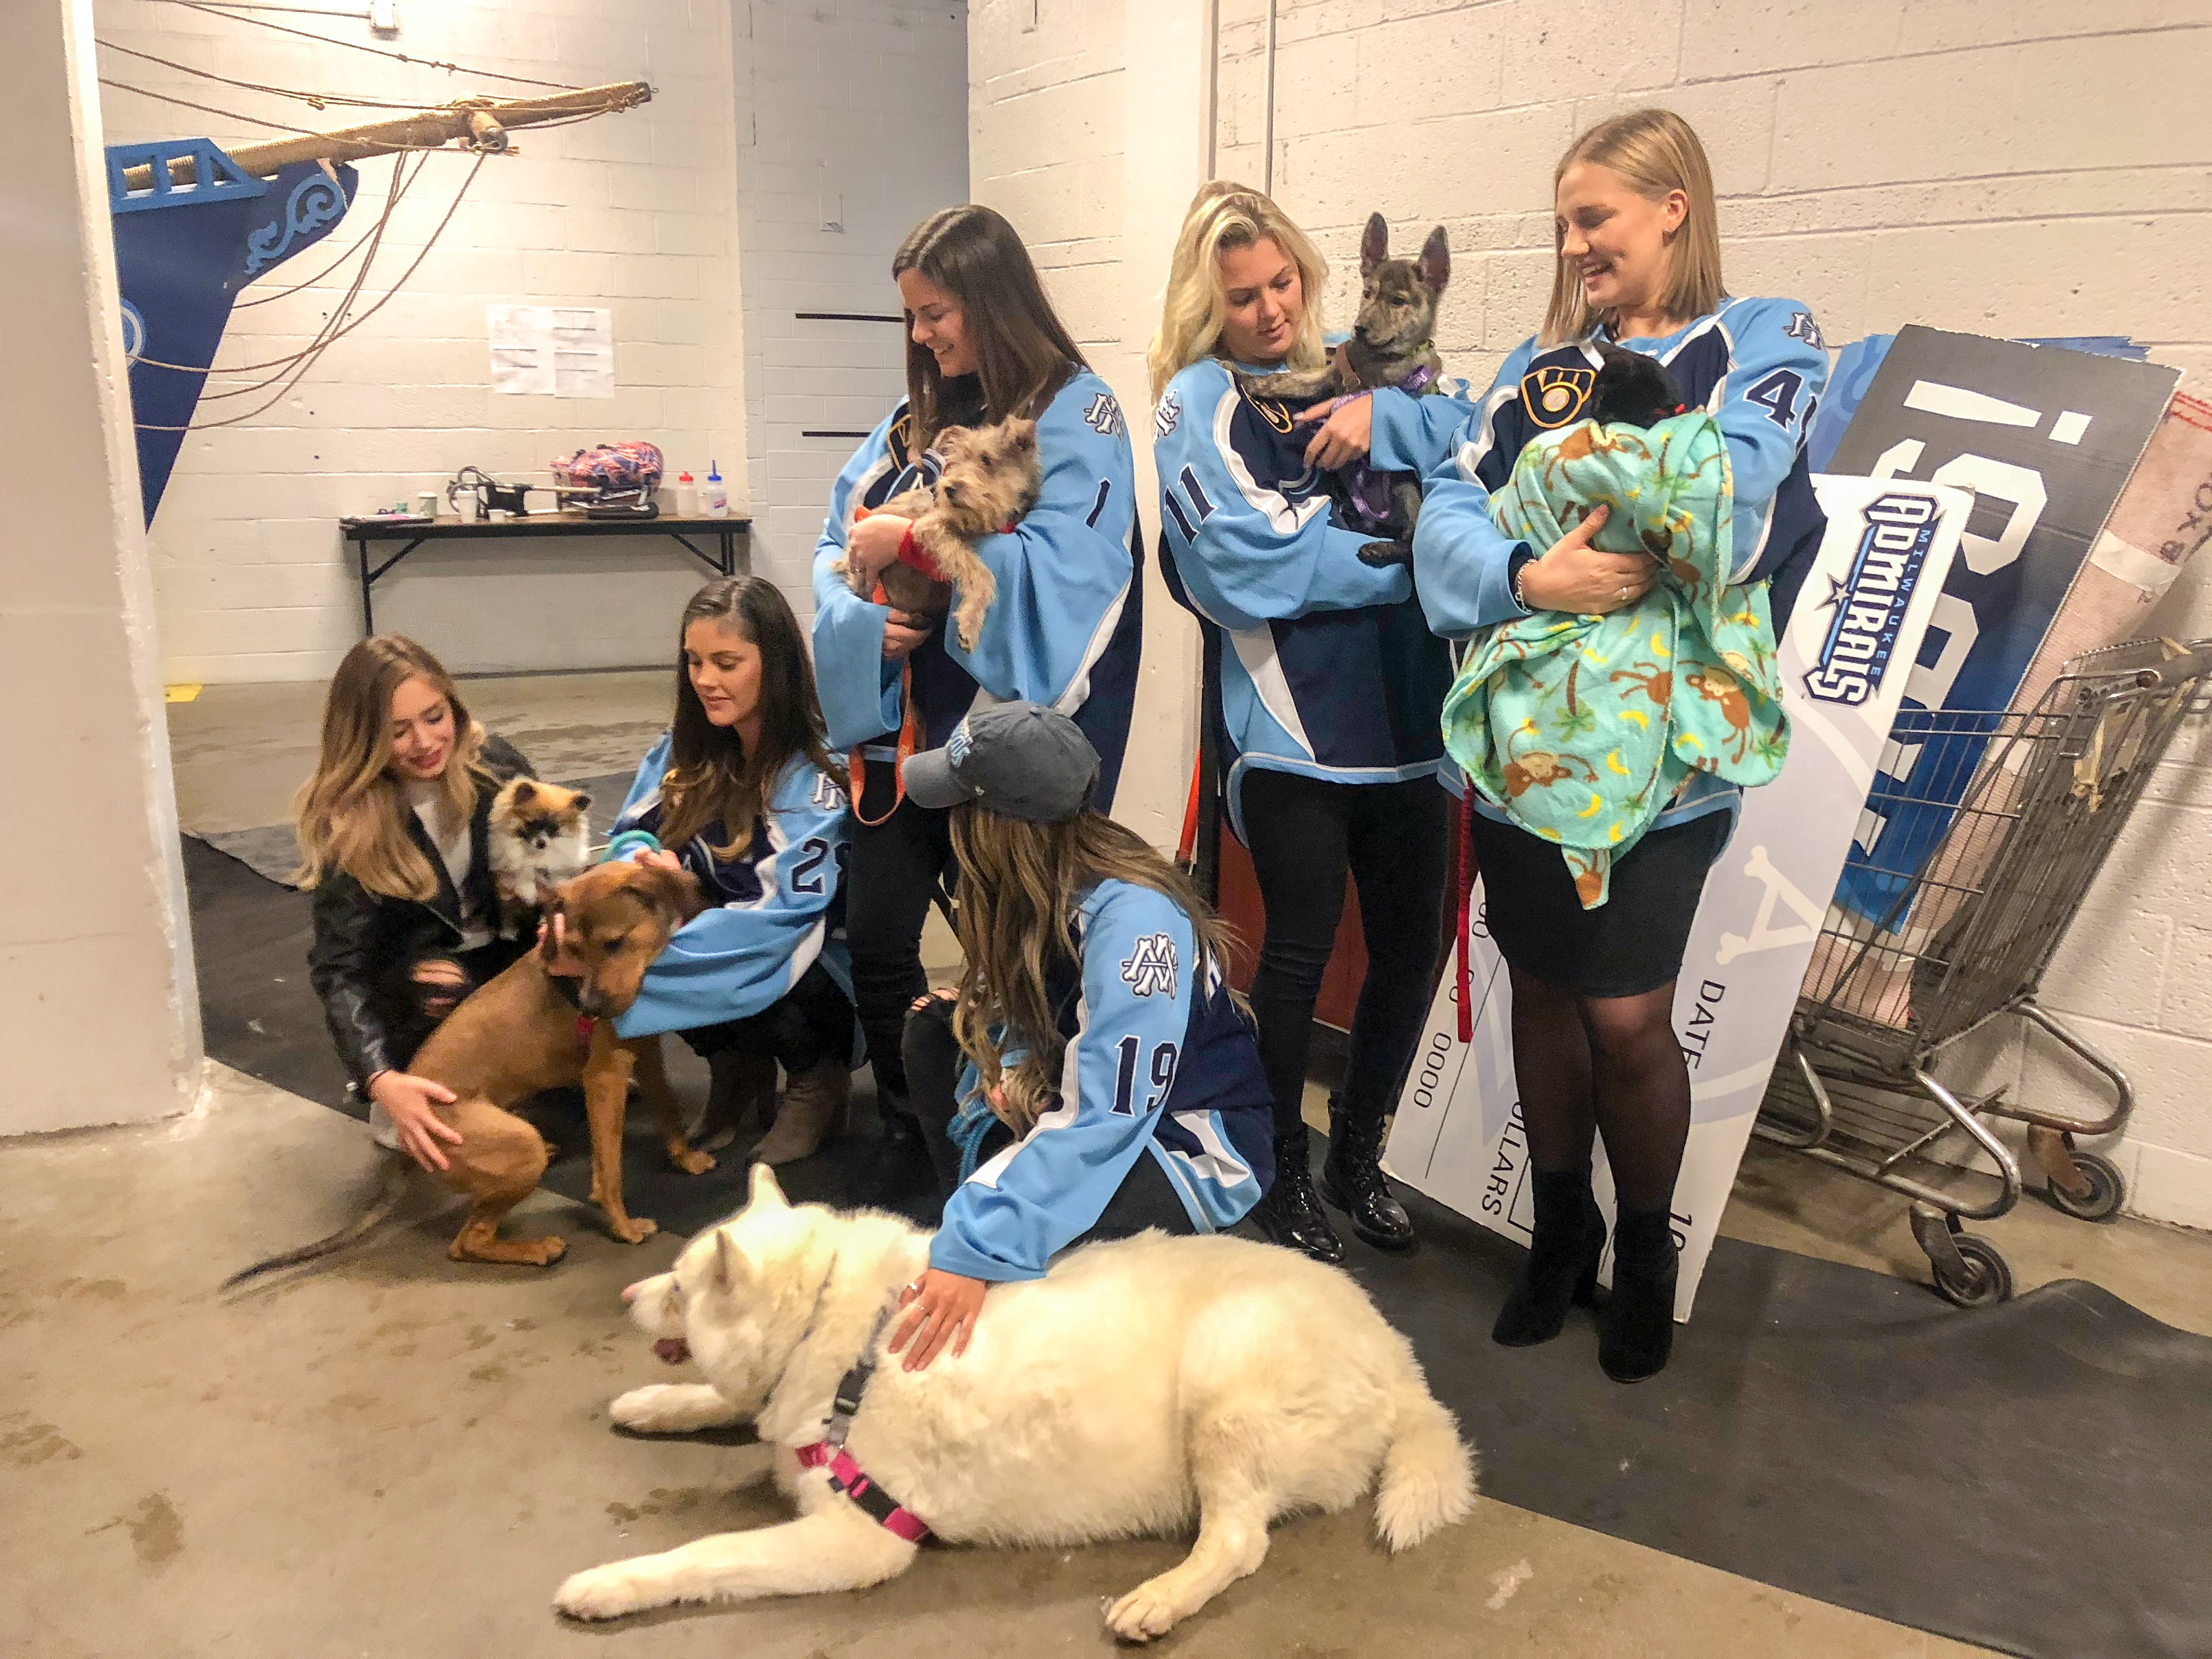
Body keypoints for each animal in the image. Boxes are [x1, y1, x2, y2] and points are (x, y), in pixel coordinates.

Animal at [223, 861, 718, 1284]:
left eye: (614, 944)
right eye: (574, 950)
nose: (592, 1009)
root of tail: (408, 1143)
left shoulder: (647, 1053)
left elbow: (669, 1109)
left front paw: (686, 1157)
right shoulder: (605, 1077)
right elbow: (609, 1170)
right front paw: (623, 1226)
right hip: (518, 1153)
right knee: (465, 1244)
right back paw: (535, 1249)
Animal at [488, 778, 593, 942]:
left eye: (554, 828)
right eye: (532, 824)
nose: (542, 843)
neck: (536, 855)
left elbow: (557, 878)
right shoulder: (507, 875)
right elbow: (523, 873)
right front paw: (528, 892)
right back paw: (508, 932)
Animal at [553, 1165, 1477, 1639]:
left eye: (679, 1289)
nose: (630, 1296)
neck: (848, 1340)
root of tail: (1402, 1360)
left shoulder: (856, 1541)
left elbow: (705, 1555)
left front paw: (609, 1583)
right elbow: (728, 1402)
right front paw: (655, 1402)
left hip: (1224, 1380)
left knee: (1239, 1543)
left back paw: (1159, 1599)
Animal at [836, 417, 1043, 652]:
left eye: (986, 459)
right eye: (954, 462)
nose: (949, 489)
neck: (986, 517)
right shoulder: (932, 528)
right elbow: (982, 574)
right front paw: (970, 623)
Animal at [1240, 212, 1450, 566]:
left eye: (1398, 301)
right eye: (1367, 293)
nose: (1359, 328)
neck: (1374, 357)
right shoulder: (1328, 376)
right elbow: (1292, 379)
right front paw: (1251, 378)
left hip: (1404, 482)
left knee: (1410, 541)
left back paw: (1378, 549)